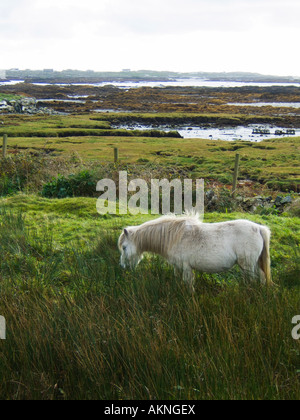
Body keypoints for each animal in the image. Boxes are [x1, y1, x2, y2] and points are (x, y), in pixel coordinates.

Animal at [118, 215, 272, 290]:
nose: (123, 267)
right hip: (253, 264)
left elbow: (188, 284)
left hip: (247, 265)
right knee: (262, 277)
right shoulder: (178, 267)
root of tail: (258, 228)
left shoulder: (186, 267)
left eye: (124, 247)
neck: (175, 237)